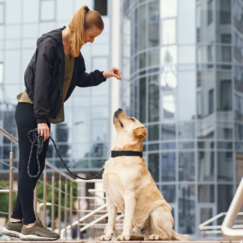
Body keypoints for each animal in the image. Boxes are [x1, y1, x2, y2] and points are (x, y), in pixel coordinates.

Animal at [98, 109, 190, 241]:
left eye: (132, 119)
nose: (119, 109)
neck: (121, 154)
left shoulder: (129, 195)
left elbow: (127, 219)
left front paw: (124, 235)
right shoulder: (110, 197)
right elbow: (110, 221)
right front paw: (107, 236)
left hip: (157, 212)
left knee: (167, 235)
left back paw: (155, 236)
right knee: (143, 235)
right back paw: (134, 236)